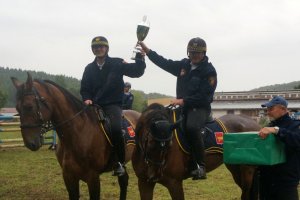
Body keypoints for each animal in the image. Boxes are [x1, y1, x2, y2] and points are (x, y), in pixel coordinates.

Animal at [10, 73, 139, 200]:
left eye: (29, 106)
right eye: (17, 108)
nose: (30, 143)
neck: (77, 134)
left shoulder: (93, 178)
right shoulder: (69, 177)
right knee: (124, 181)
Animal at [131, 103, 260, 200]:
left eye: (170, 145)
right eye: (150, 143)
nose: (154, 176)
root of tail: (256, 125)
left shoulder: (174, 183)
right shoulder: (144, 183)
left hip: (247, 169)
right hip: (234, 167)